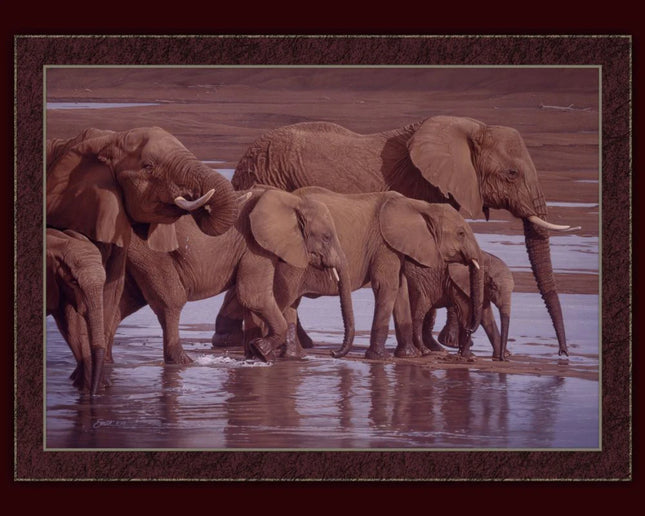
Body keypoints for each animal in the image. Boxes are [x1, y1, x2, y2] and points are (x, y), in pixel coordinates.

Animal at [115, 187, 354, 364]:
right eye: (326, 237)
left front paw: (255, 355)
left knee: (123, 303)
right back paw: (184, 361)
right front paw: (261, 350)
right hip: (152, 254)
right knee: (171, 301)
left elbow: (251, 301)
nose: (333, 353)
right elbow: (253, 296)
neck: (293, 201)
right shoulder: (255, 246)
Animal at [214, 187, 484, 360]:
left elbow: (400, 290)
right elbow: (386, 287)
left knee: (287, 302)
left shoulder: (394, 247)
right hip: (289, 257)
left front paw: (409, 356)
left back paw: (293, 356)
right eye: (461, 233)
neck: (419, 205)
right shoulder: (384, 245)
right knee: (283, 297)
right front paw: (378, 357)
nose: (333, 353)